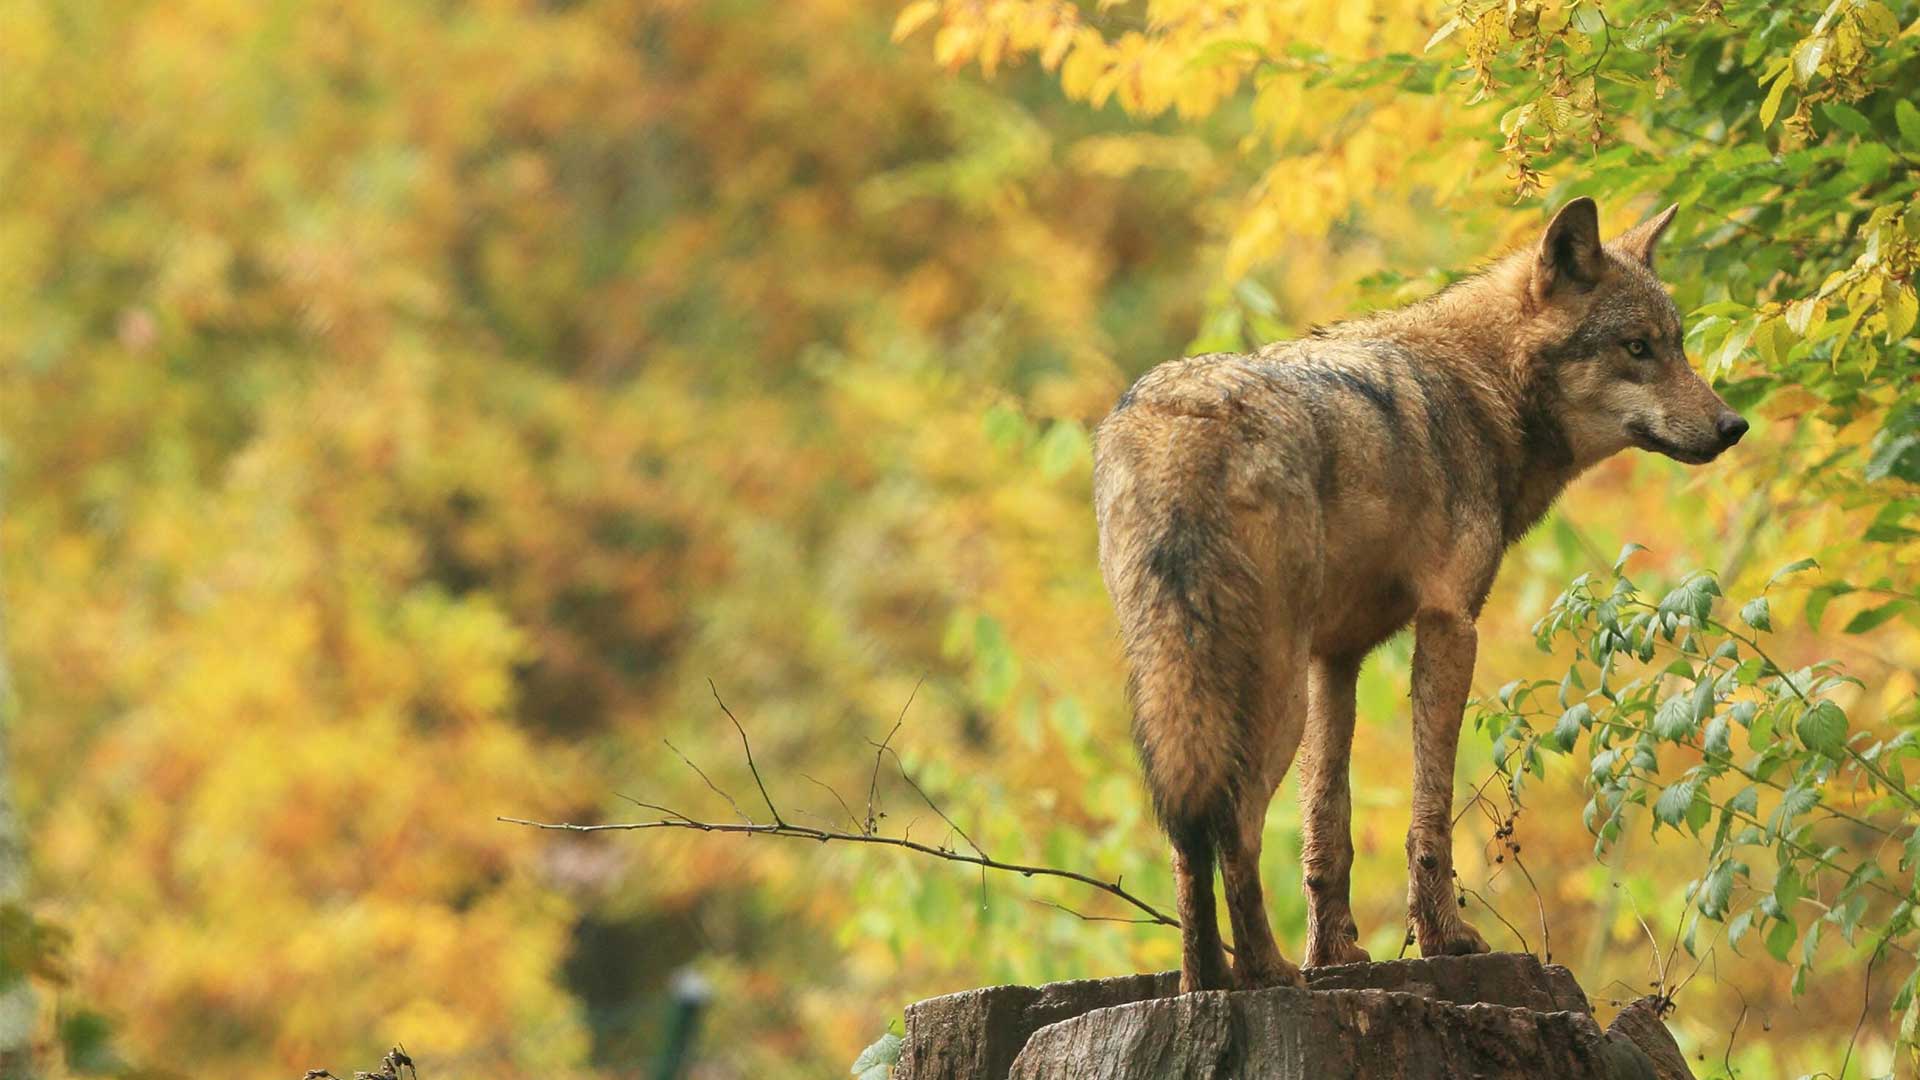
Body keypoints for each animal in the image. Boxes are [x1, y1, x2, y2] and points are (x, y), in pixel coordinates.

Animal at [1093, 198, 1747, 993]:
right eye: (1637, 347)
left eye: (1677, 346)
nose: (1734, 425)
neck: (1482, 389)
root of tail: (1181, 421)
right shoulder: (1450, 623)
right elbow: (1427, 810)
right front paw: (1444, 939)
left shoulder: (1334, 661)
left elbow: (1327, 828)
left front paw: (1335, 956)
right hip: (1266, 689)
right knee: (1236, 826)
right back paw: (1265, 974)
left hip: (1185, 683)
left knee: (1186, 834)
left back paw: (1204, 982)